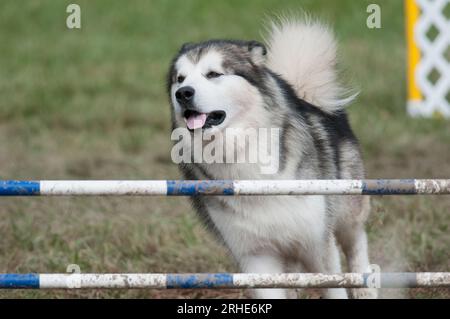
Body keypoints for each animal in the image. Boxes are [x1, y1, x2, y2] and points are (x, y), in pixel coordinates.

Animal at [167, 16, 374, 298]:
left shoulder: (317, 243)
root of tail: (305, 97)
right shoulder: (257, 256)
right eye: (180, 79)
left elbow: (334, 286)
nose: (183, 93)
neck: (239, 149)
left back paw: (367, 287)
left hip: (348, 209)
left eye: (213, 74)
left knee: (356, 245)